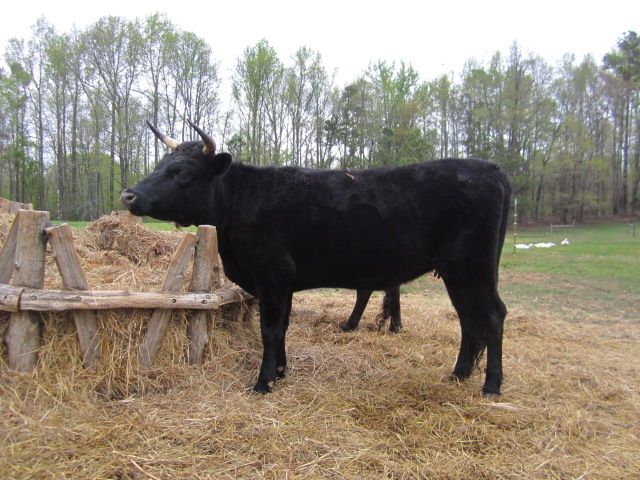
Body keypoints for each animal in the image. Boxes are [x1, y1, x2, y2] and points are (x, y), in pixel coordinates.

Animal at [122, 120, 511, 397]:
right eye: (161, 164)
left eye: (181, 172)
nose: (128, 195)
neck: (242, 201)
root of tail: (491, 168)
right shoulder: (282, 283)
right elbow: (282, 328)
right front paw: (280, 372)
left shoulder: (272, 275)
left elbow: (270, 329)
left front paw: (263, 382)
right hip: (457, 273)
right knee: (468, 320)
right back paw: (458, 375)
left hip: (472, 268)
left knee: (492, 315)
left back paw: (491, 386)